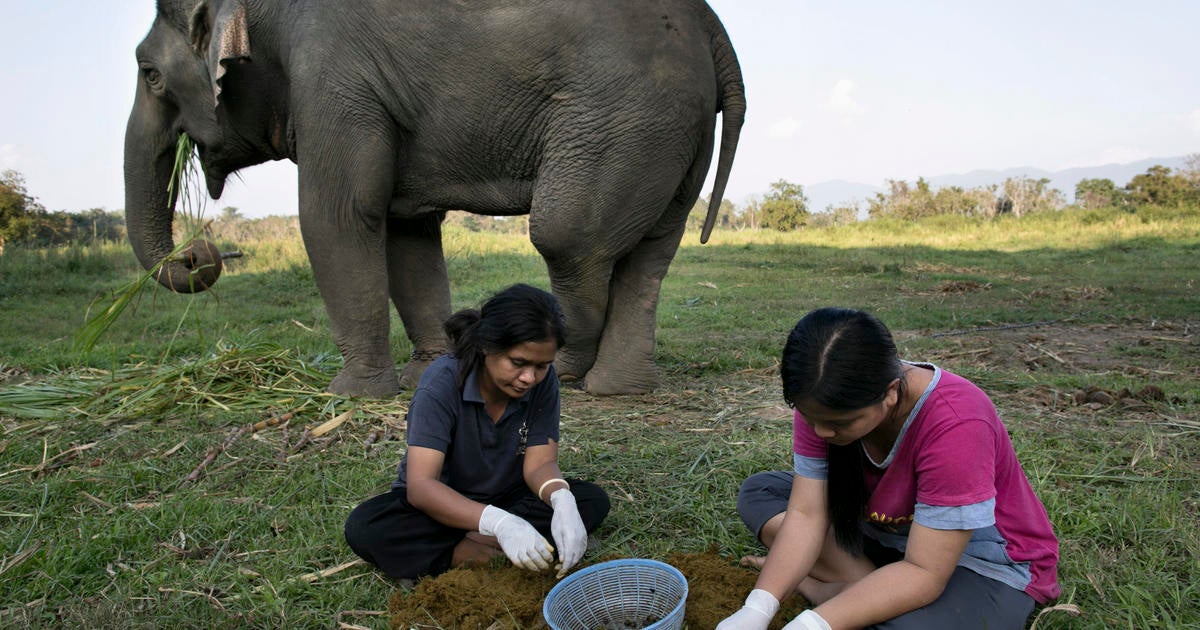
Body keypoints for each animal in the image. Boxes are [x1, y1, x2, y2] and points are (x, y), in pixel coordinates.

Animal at [121, 0, 739, 396]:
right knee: (651, 253)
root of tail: (713, 28)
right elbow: (404, 230)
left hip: (625, 117)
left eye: (149, 74)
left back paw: (563, 372)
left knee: (565, 237)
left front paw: (348, 395)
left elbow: (337, 217)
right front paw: (427, 377)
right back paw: (616, 390)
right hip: (674, 128)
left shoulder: (331, 79)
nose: (198, 254)